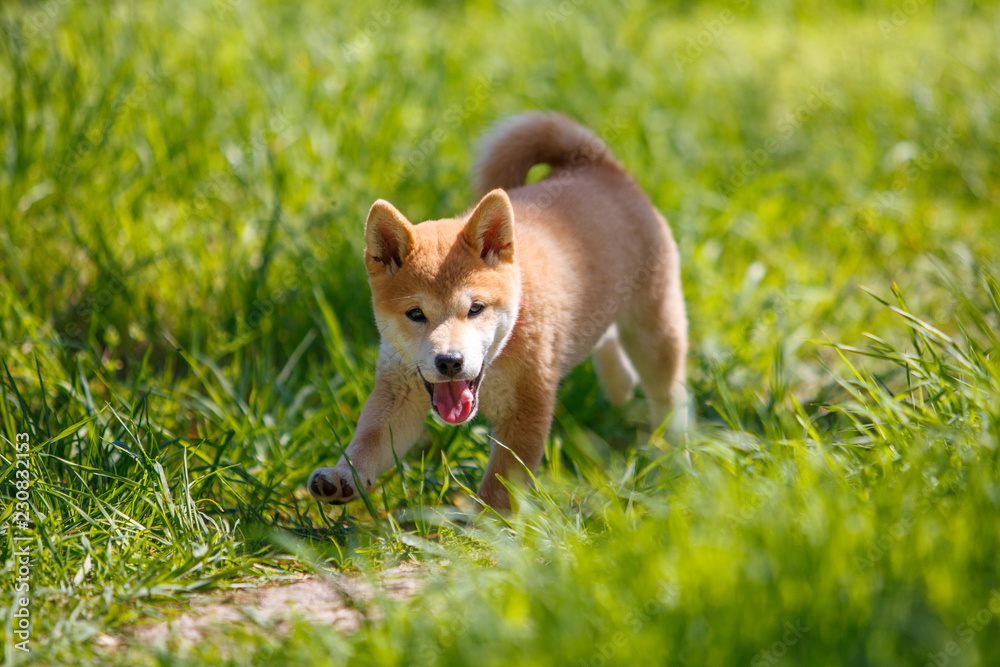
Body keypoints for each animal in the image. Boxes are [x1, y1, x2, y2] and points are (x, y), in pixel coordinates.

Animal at [308, 112, 688, 508]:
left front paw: (483, 525)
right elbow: (369, 441)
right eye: (415, 314)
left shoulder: (527, 410)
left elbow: (499, 489)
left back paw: (675, 458)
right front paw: (342, 476)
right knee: (606, 336)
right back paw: (620, 383)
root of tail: (598, 163)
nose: (450, 362)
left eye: (476, 308)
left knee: (671, 396)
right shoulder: (399, 390)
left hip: (654, 329)